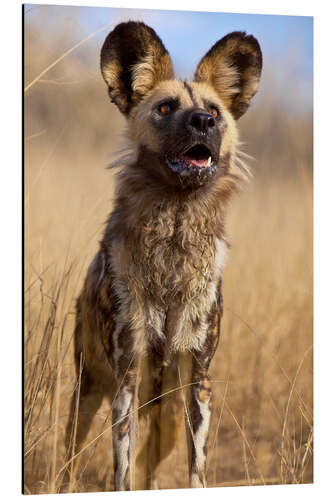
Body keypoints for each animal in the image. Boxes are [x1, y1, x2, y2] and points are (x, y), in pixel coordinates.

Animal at [65, 21, 262, 490]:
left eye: (214, 112)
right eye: (165, 107)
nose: (203, 122)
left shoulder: (198, 381)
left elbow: (196, 470)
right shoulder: (127, 377)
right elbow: (121, 472)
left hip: (167, 418)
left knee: (150, 469)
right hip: (87, 396)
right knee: (73, 463)